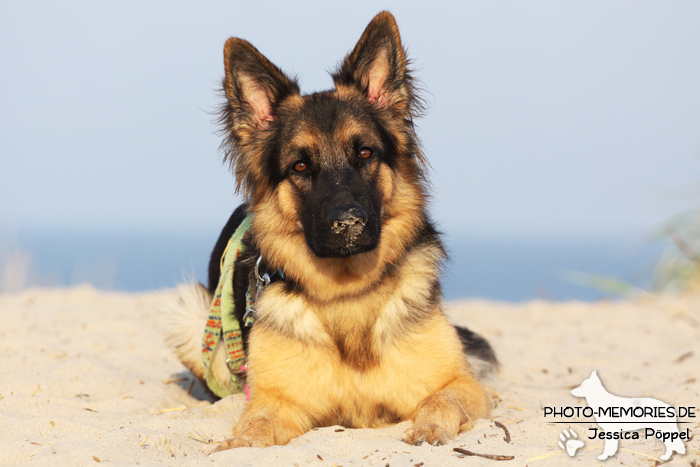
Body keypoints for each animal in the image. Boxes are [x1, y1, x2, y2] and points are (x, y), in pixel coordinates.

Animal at [166, 10, 494, 450]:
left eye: (365, 153)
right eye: (300, 166)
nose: (348, 223)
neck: (347, 293)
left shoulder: (462, 384)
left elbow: (441, 401)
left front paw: (429, 430)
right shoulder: (275, 401)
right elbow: (255, 426)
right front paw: (240, 445)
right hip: (190, 315)